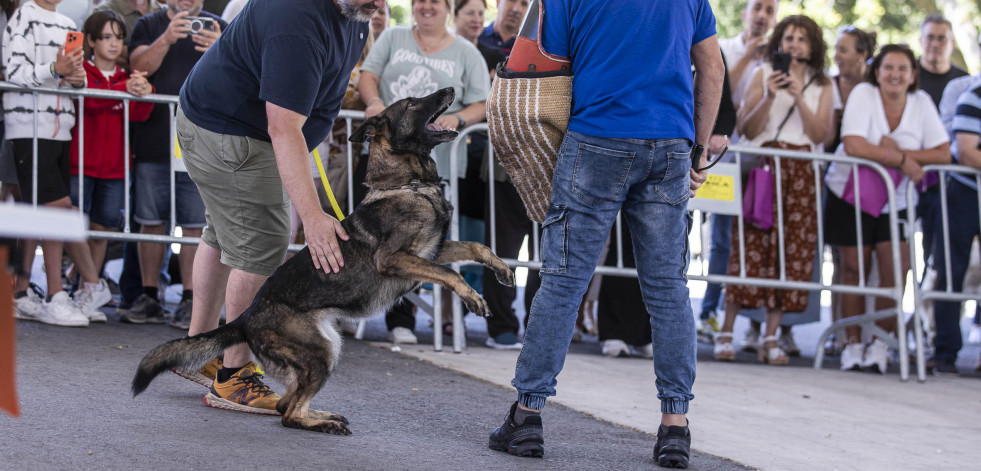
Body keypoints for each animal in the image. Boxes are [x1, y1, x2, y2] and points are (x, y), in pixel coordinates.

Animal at [132, 88, 512, 436]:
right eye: (411, 103)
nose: (450, 90)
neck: (410, 184)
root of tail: (246, 316)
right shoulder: (395, 258)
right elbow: (447, 272)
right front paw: (474, 298)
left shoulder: (431, 250)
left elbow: (476, 247)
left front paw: (504, 269)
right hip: (320, 352)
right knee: (288, 414)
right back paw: (322, 423)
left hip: (326, 347)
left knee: (288, 402)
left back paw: (323, 414)